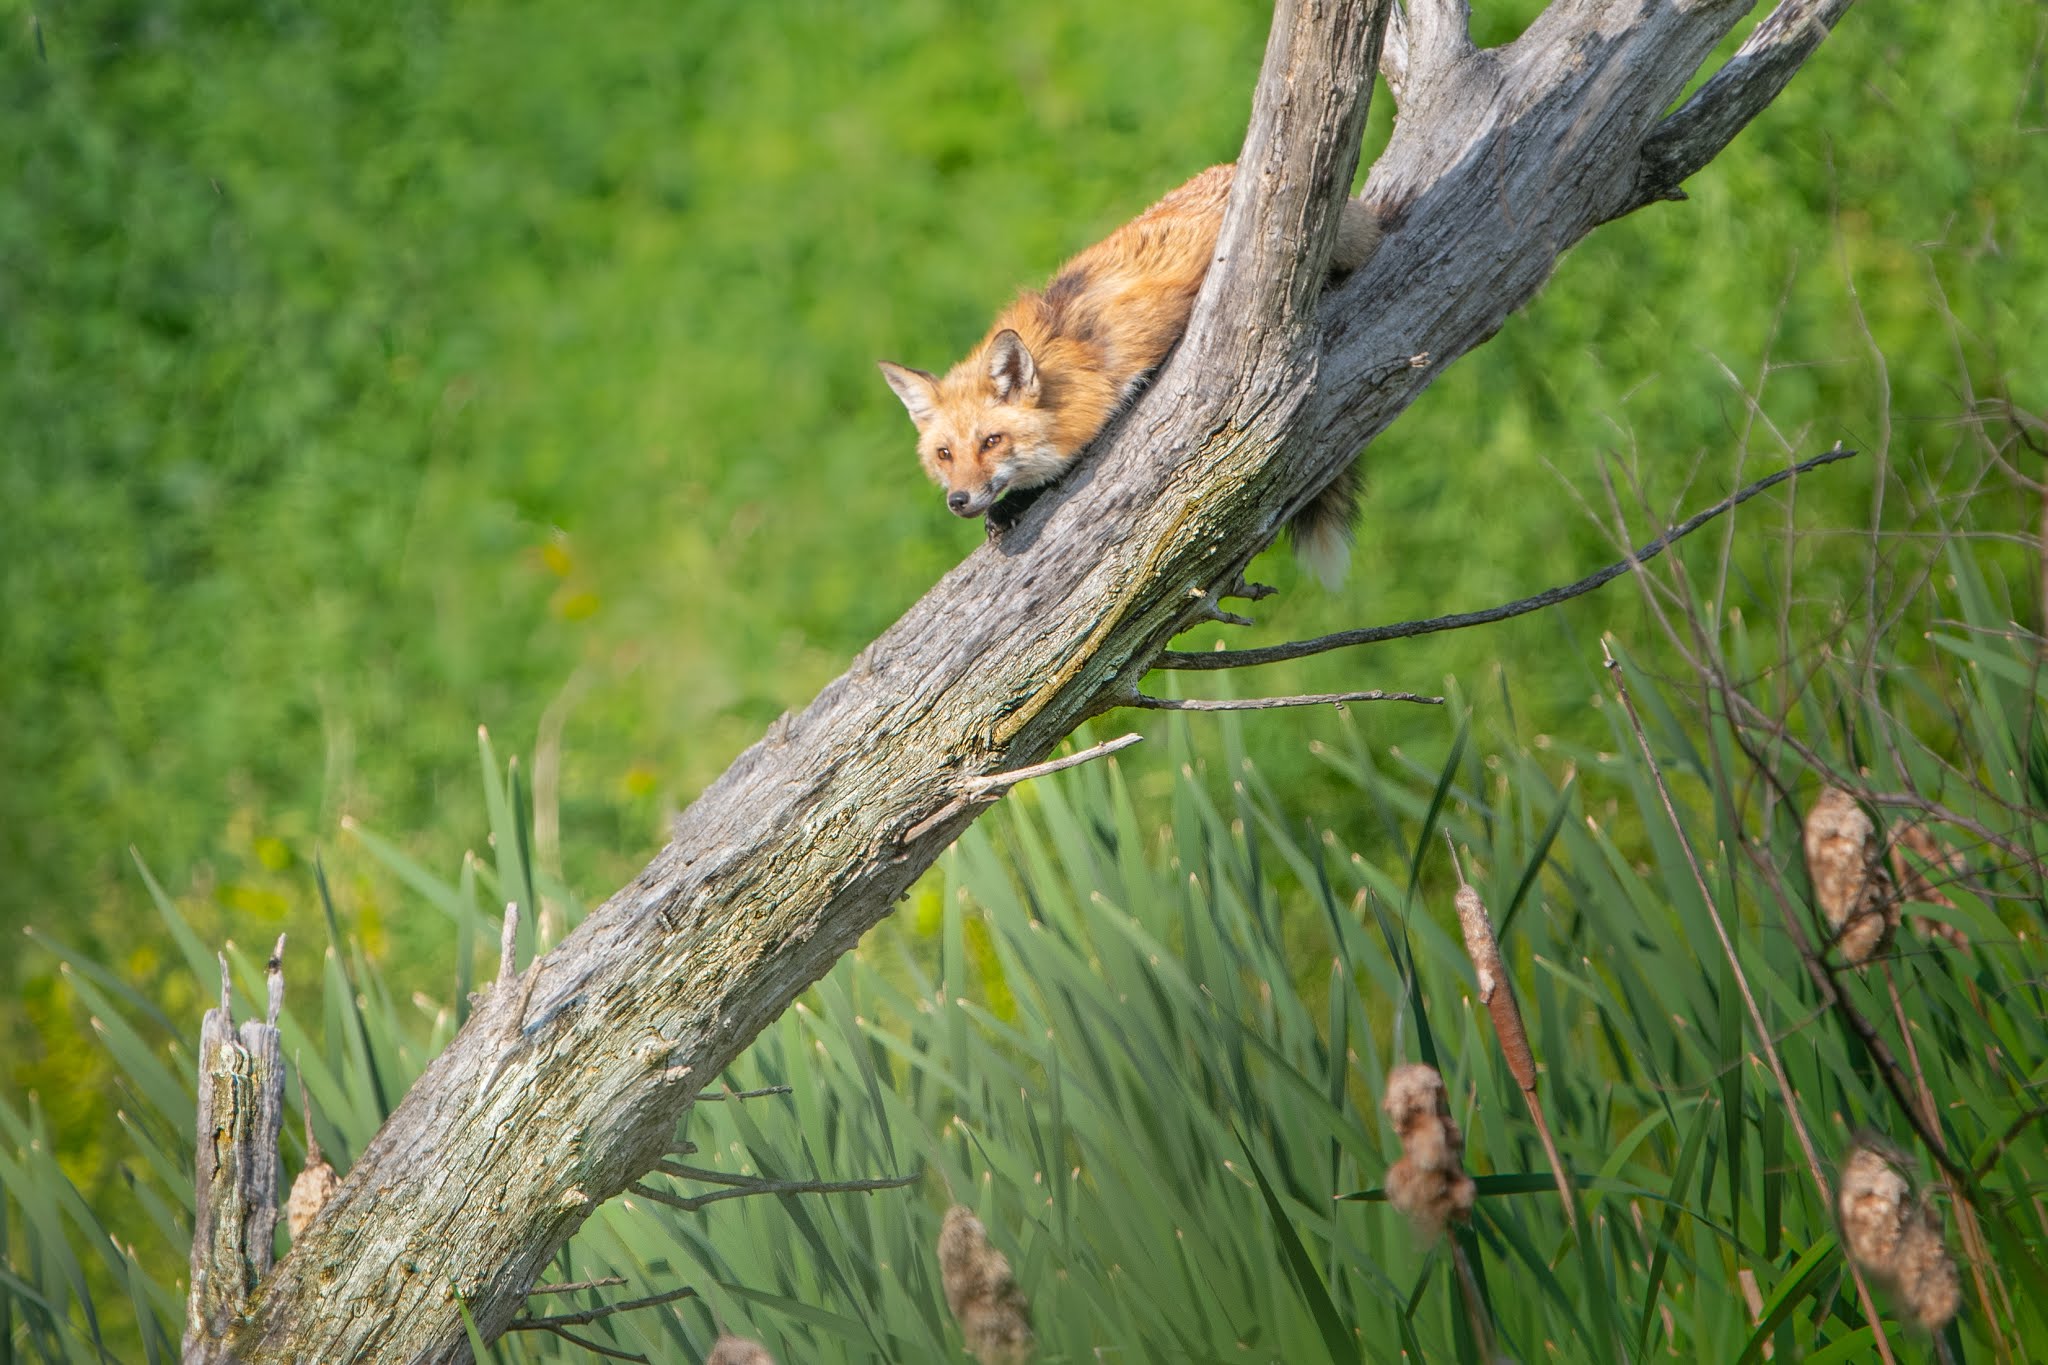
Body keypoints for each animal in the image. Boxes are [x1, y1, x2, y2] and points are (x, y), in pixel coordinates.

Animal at [879, 162, 1379, 587]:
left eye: (991, 441)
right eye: (944, 454)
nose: (958, 500)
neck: (1069, 346)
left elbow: (1072, 461)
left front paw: (1016, 503)